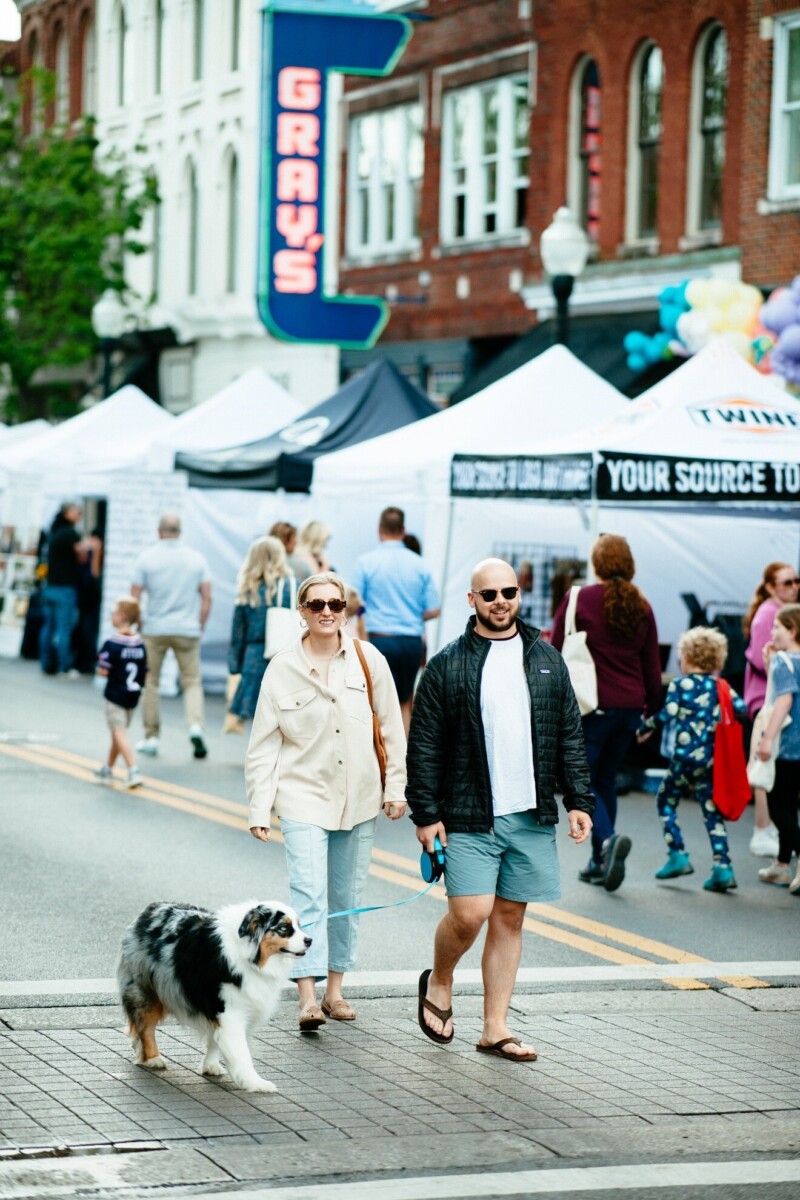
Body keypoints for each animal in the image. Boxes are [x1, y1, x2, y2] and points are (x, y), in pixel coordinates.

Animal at [117, 902, 311, 1089]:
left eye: (299, 925)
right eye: (284, 927)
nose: (309, 940)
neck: (247, 954)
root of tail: (148, 910)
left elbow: (215, 1038)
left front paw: (210, 1065)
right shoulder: (229, 1010)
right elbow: (241, 1052)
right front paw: (255, 1083)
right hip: (147, 990)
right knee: (145, 1025)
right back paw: (152, 1058)